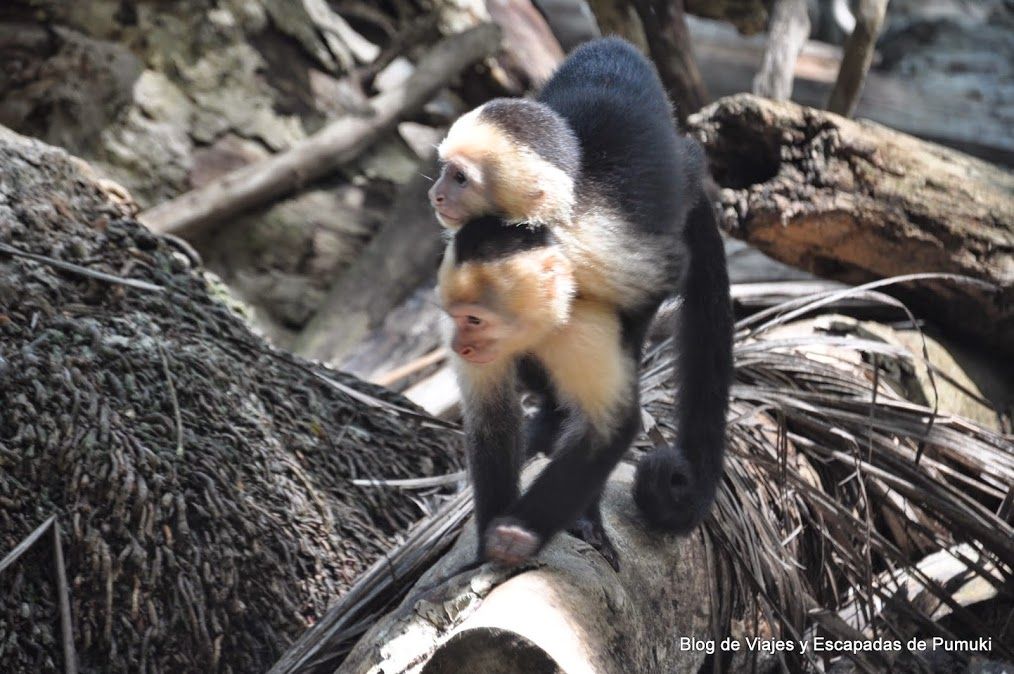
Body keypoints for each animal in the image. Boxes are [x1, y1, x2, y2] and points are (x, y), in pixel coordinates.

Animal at [430, 37, 733, 569]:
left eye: (461, 177)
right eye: (458, 321)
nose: (436, 192)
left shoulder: (598, 276)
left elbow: (609, 425)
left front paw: (524, 531)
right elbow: (491, 421)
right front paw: (489, 538)